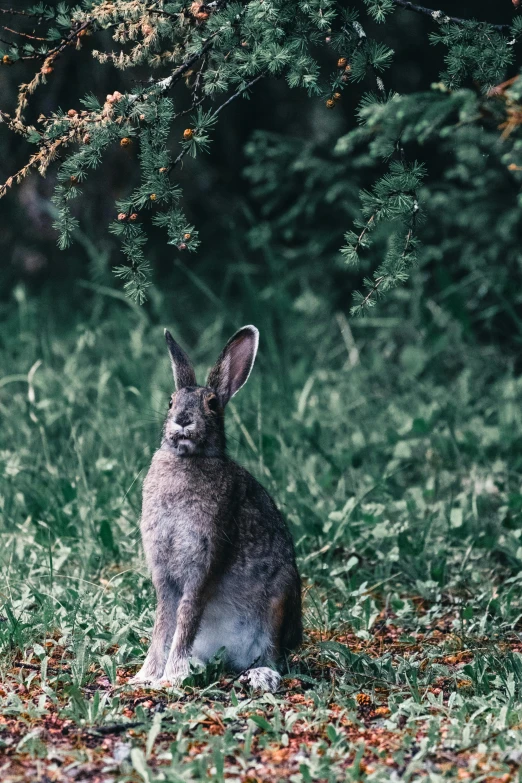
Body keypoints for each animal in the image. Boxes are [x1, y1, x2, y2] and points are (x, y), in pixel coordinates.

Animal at [130, 324, 300, 692]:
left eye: (211, 404)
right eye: (170, 401)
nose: (182, 420)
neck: (188, 460)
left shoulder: (204, 563)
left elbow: (185, 619)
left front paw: (171, 678)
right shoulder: (164, 575)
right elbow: (163, 626)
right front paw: (145, 677)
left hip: (279, 602)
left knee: (272, 655)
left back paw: (260, 675)